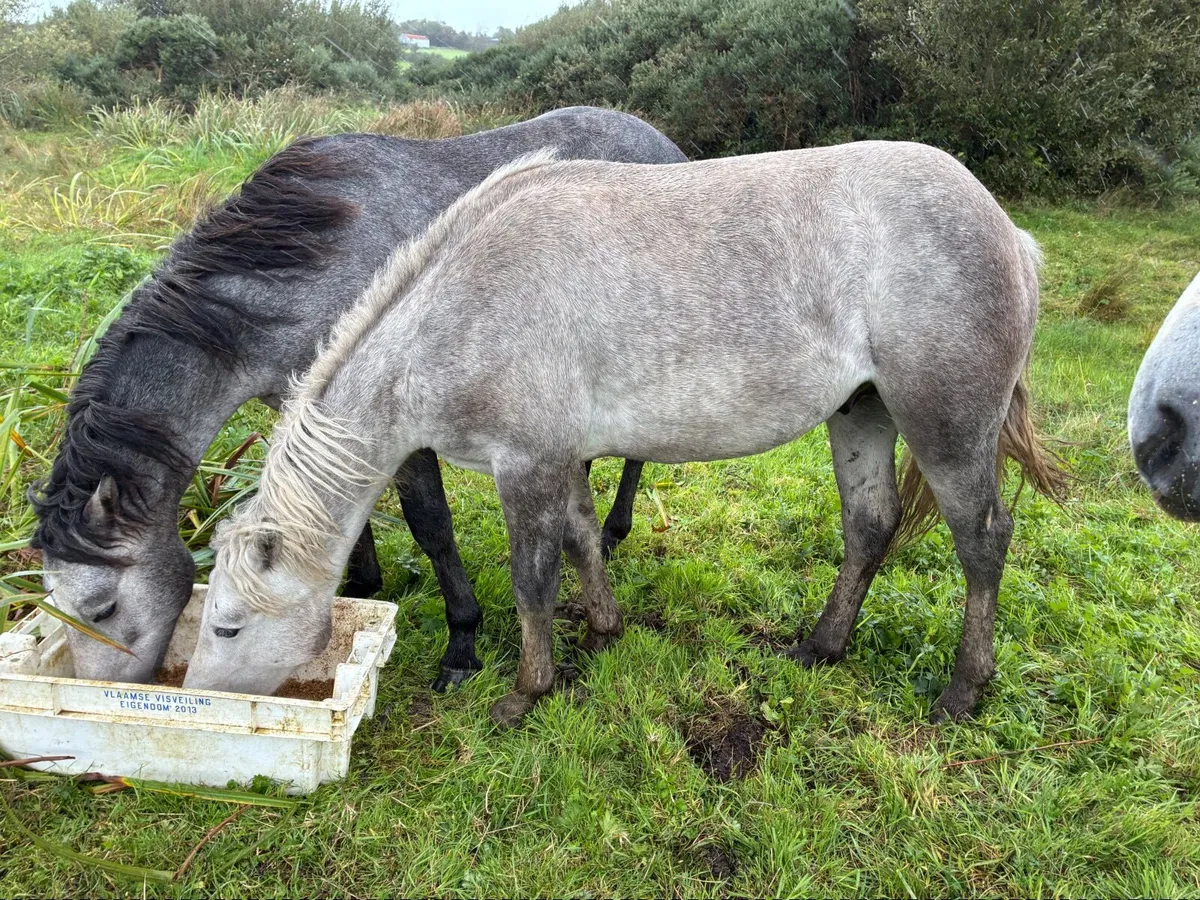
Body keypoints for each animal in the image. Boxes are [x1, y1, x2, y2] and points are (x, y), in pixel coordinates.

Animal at [29, 107, 686, 688]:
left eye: (103, 609)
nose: (103, 686)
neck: (295, 277)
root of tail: (665, 143)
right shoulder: (316, 413)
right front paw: (358, 585)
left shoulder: (401, 426)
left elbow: (431, 527)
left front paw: (462, 642)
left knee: (635, 455)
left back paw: (615, 529)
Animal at [184, 143, 1064, 725]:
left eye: (227, 624)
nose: (196, 698)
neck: (456, 310)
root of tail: (1009, 231)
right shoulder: (561, 457)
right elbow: (581, 538)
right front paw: (605, 630)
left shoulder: (525, 464)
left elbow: (533, 576)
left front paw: (526, 692)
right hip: (864, 411)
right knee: (871, 524)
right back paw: (822, 646)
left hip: (946, 425)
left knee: (983, 539)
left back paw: (962, 690)